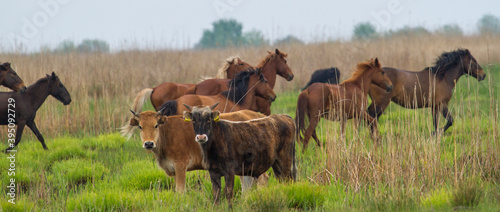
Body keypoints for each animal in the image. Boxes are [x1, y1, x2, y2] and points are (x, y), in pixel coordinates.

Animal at [121, 108, 270, 193]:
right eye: (140, 126)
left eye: (156, 125)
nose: (148, 143)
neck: (167, 134)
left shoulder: (181, 166)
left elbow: (180, 191)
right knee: (247, 185)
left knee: (262, 180)